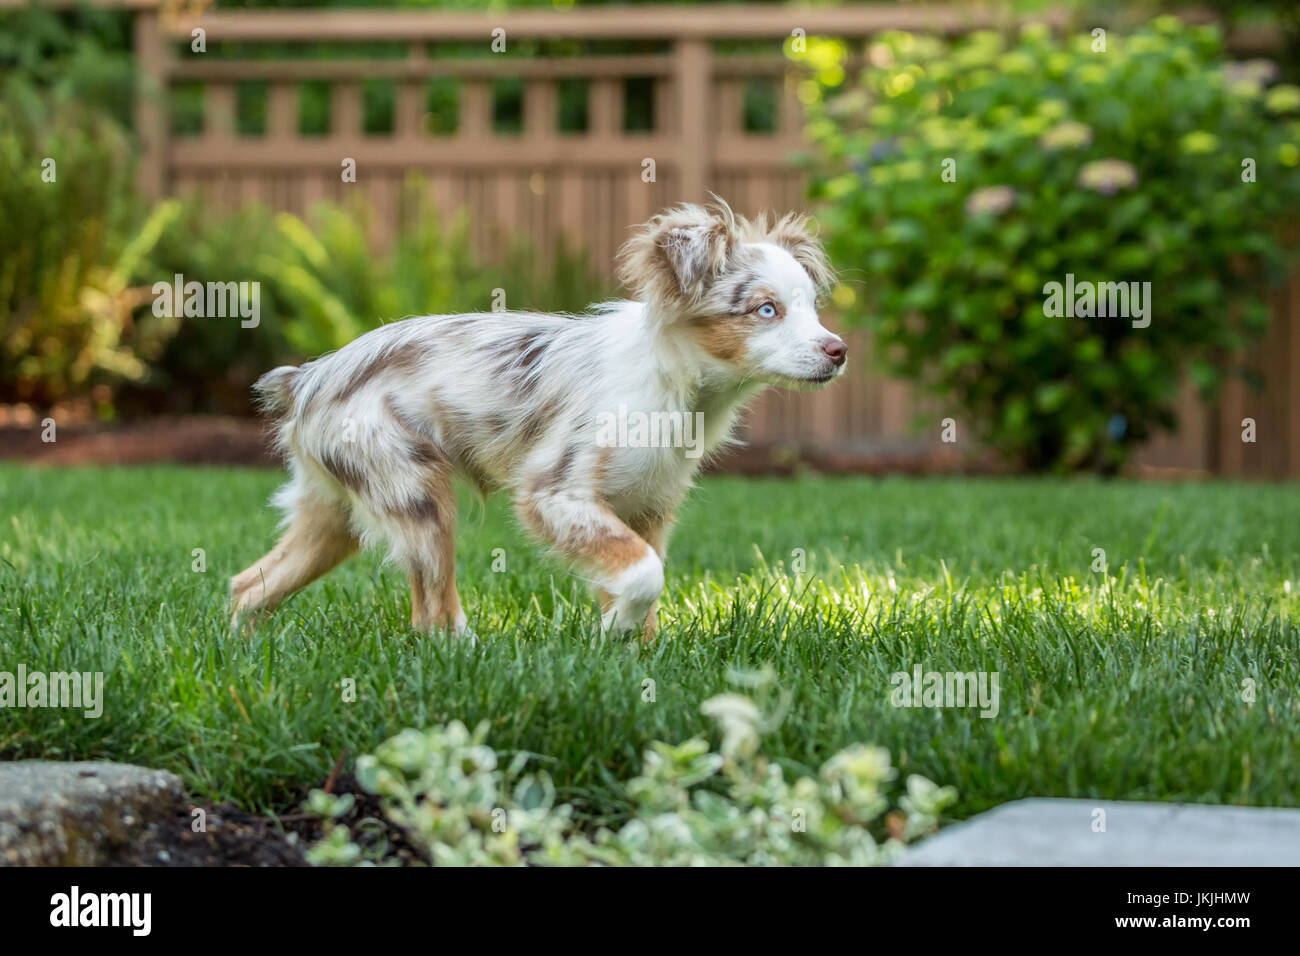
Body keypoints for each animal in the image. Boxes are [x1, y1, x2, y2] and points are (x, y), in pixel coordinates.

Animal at [231, 197, 842, 639]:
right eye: (766, 310)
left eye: (812, 308)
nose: (839, 351)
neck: (679, 389)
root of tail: (312, 377)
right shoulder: (556, 494)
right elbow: (646, 574)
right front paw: (614, 630)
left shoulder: (645, 509)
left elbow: (637, 580)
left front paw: (636, 657)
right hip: (416, 494)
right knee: (431, 613)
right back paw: (466, 653)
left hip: (333, 510)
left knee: (248, 586)